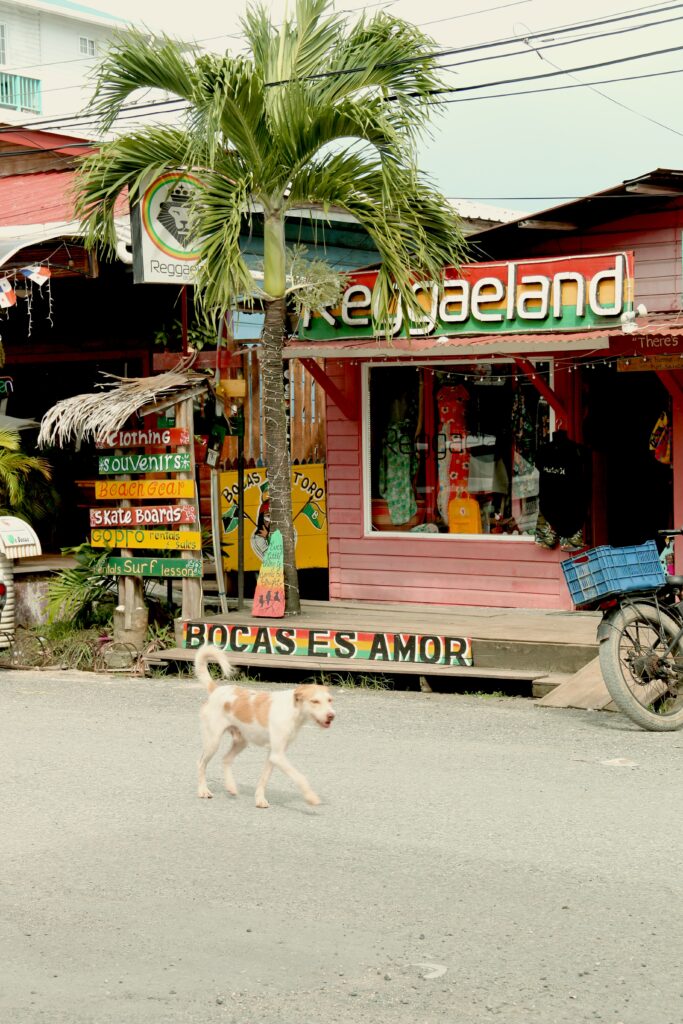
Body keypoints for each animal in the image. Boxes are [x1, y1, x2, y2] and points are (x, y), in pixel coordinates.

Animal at [194, 647, 335, 806]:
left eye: (330, 700)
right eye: (315, 701)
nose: (332, 715)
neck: (293, 710)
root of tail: (215, 690)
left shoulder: (273, 755)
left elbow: (264, 778)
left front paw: (260, 799)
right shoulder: (278, 756)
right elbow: (299, 777)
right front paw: (311, 797)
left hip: (241, 742)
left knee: (226, 759)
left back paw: (230, 786)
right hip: (213, 742)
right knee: (201, 764)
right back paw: (203, 790)